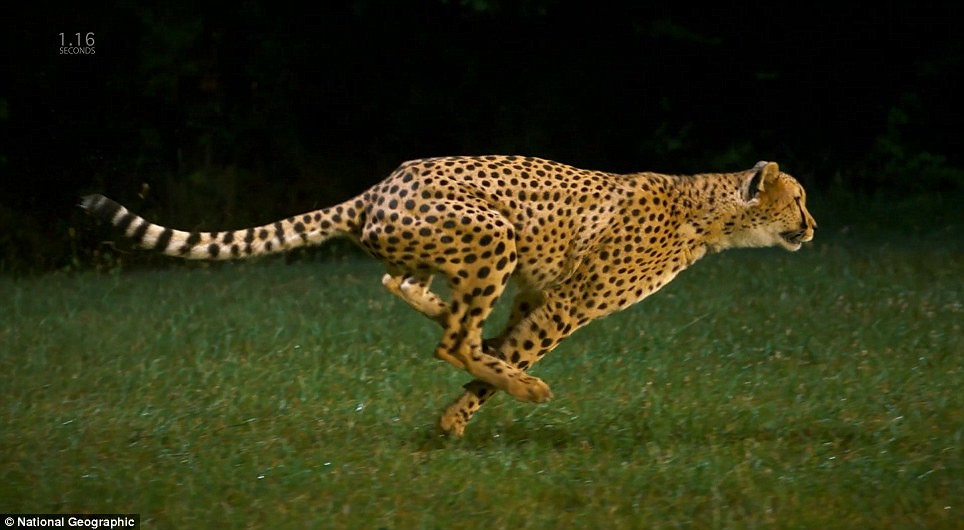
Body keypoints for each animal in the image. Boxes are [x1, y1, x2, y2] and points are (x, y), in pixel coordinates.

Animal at [81, 155, 816, 437]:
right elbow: (516, 352)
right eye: (799, 200)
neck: (709, 213)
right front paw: (465, 413)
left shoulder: (535, 295)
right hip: (493, 232)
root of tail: (379, 185)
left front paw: (462, 410)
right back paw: (519, 382)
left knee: (407, 287)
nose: (811, 226)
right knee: (451, 337)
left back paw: (458, 323)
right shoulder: (568, 303)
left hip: (458, 250)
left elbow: (508, 343)